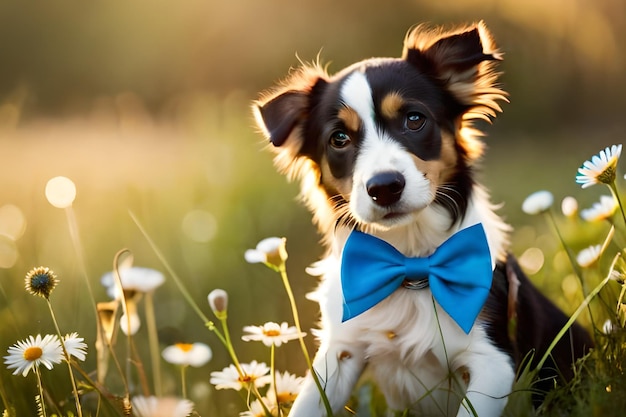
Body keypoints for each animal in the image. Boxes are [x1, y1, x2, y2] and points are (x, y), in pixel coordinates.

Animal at [250, 22, 588, 416]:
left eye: (414, 119)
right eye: (339, 138)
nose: (384, 187)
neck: (410, 262)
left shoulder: (492, 361)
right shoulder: (340, 351)